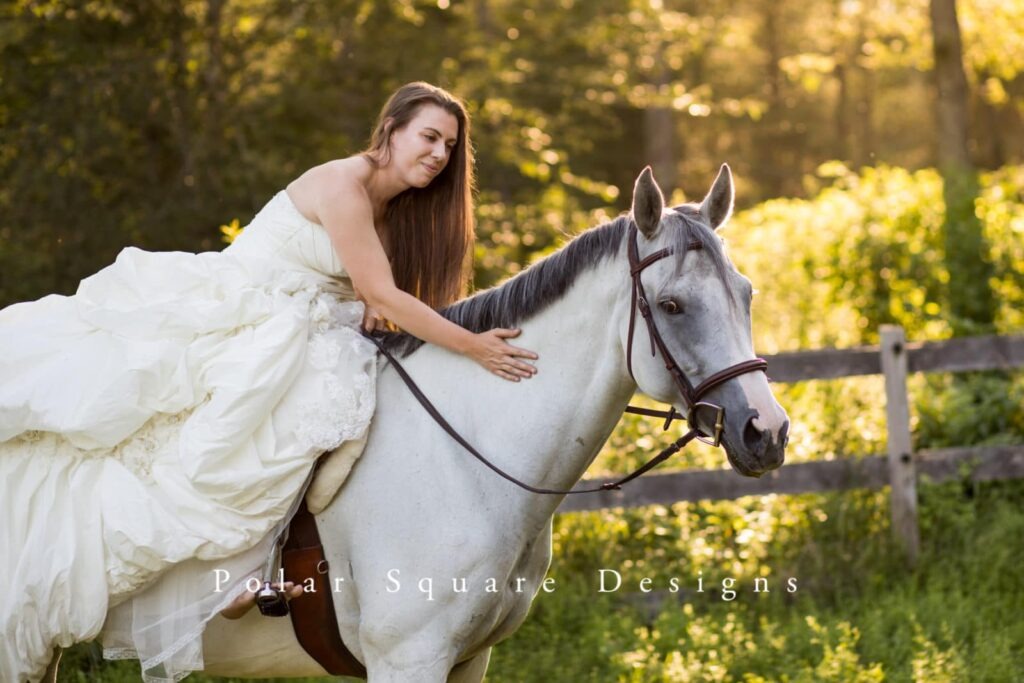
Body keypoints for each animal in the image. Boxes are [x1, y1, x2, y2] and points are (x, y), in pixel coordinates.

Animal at [105, 163, 790, 683]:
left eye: (747, 293)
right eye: (672, 306)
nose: (766, 433)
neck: (466, 461)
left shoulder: (468, 659)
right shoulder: (407, 659)